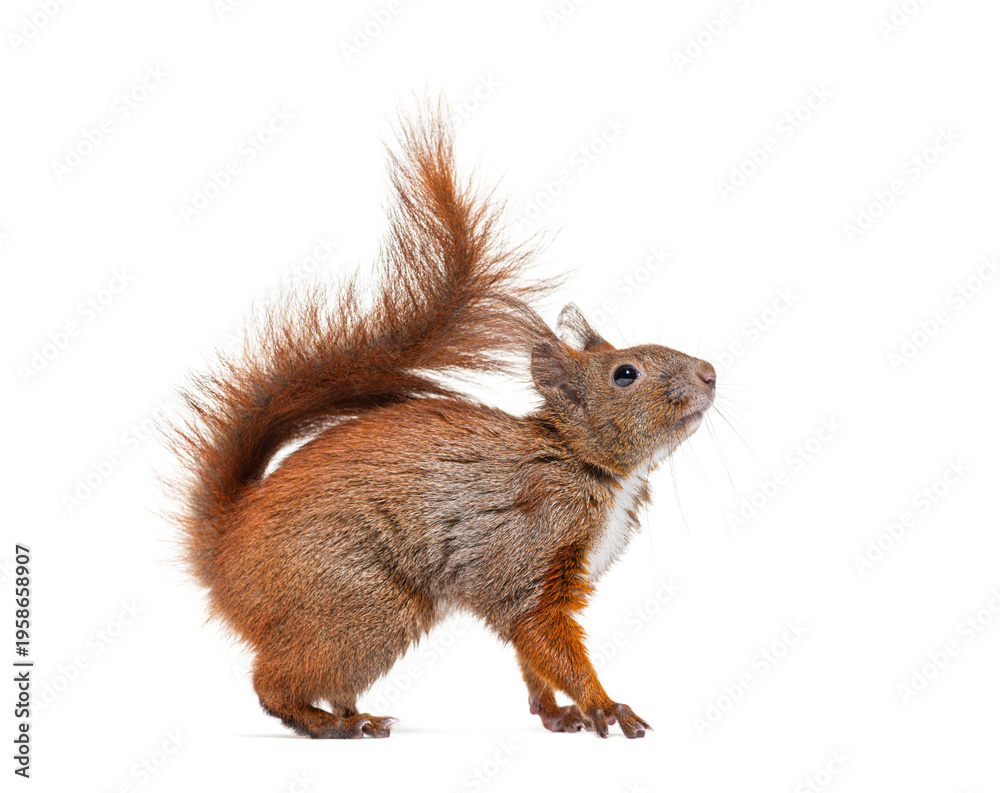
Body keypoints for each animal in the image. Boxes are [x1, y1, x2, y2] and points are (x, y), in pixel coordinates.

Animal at [169, 103, 716, 740]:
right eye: (625, 374)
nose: (709, 374)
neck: (586, 462)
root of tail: (224, 546)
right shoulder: (527, 551)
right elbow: (542, 636)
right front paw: (604, 706)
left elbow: (530, 656)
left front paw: (556, 713)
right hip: (363, 604)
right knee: (273, 682)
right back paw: (331, 725)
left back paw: (350, 713)